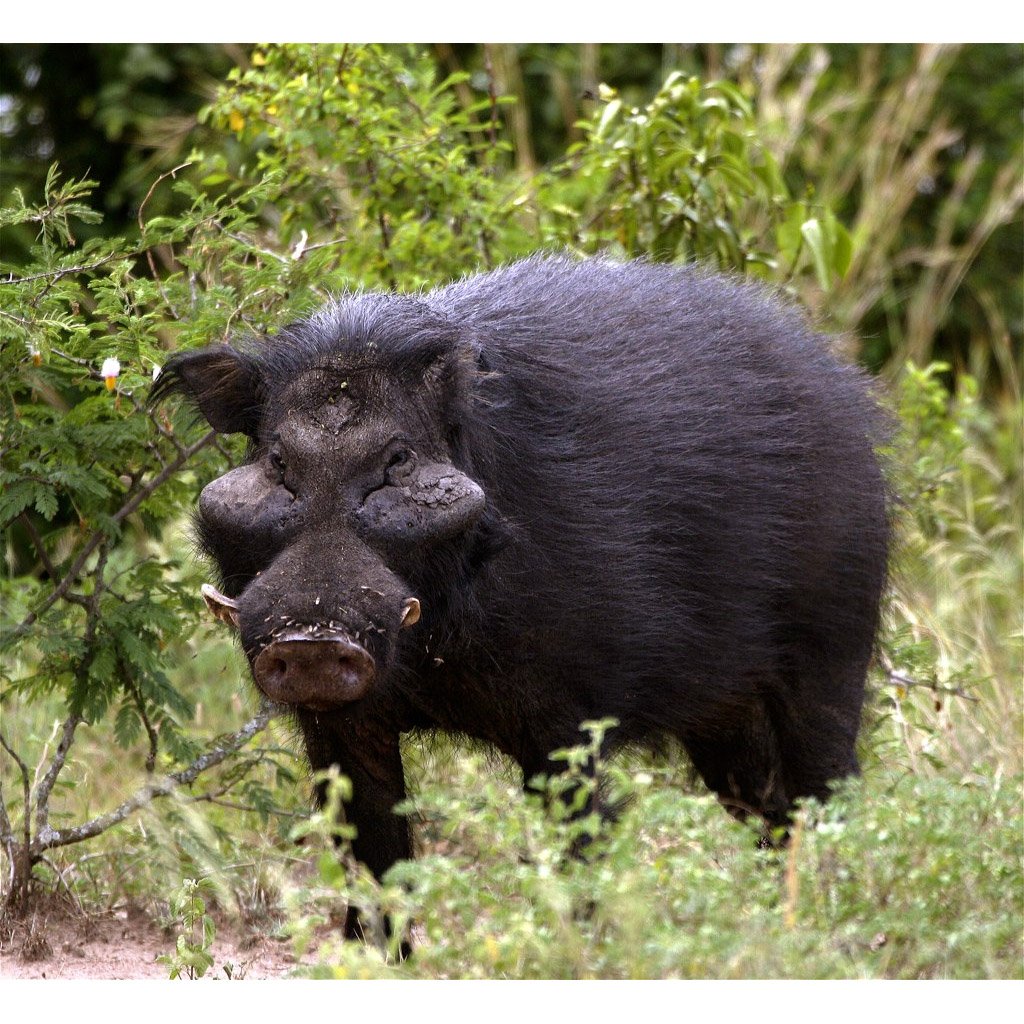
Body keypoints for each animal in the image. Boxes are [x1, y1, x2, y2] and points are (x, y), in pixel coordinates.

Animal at [153, 253, 888, 905]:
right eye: (277, 460)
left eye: (398, 459)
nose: (308, 640)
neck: (434, 653)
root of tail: (852, 396)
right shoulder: (339, 729)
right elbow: (378, 870)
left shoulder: (566, 723)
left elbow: (582, 851)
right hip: (722, 713)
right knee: (770, 811)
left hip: (832, 652)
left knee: (830, 792)